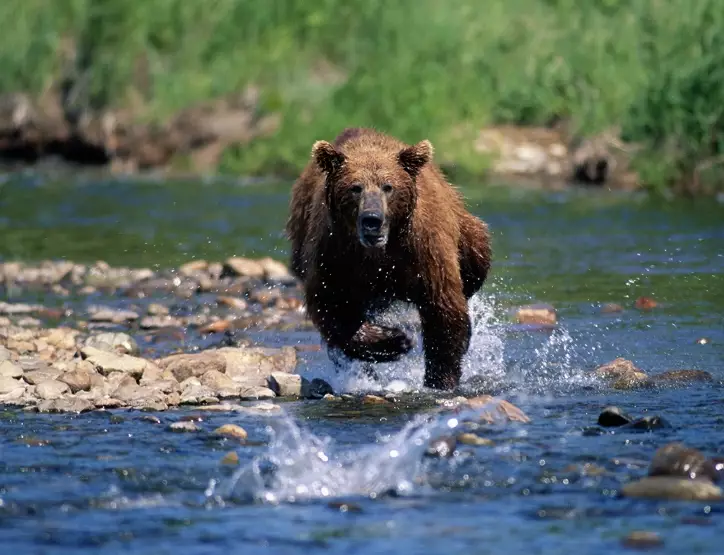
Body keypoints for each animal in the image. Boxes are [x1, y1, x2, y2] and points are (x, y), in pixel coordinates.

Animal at [285, 127, 491, 390]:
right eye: (355, 187)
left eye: (388, 186)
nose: (372, 219)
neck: (379, 253)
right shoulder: (333, 253)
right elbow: (332, 306)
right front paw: (395, 341)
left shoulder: (424, 249)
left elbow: (442, 308)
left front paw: (440, 379)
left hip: (465, 231)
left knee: (476, 259)